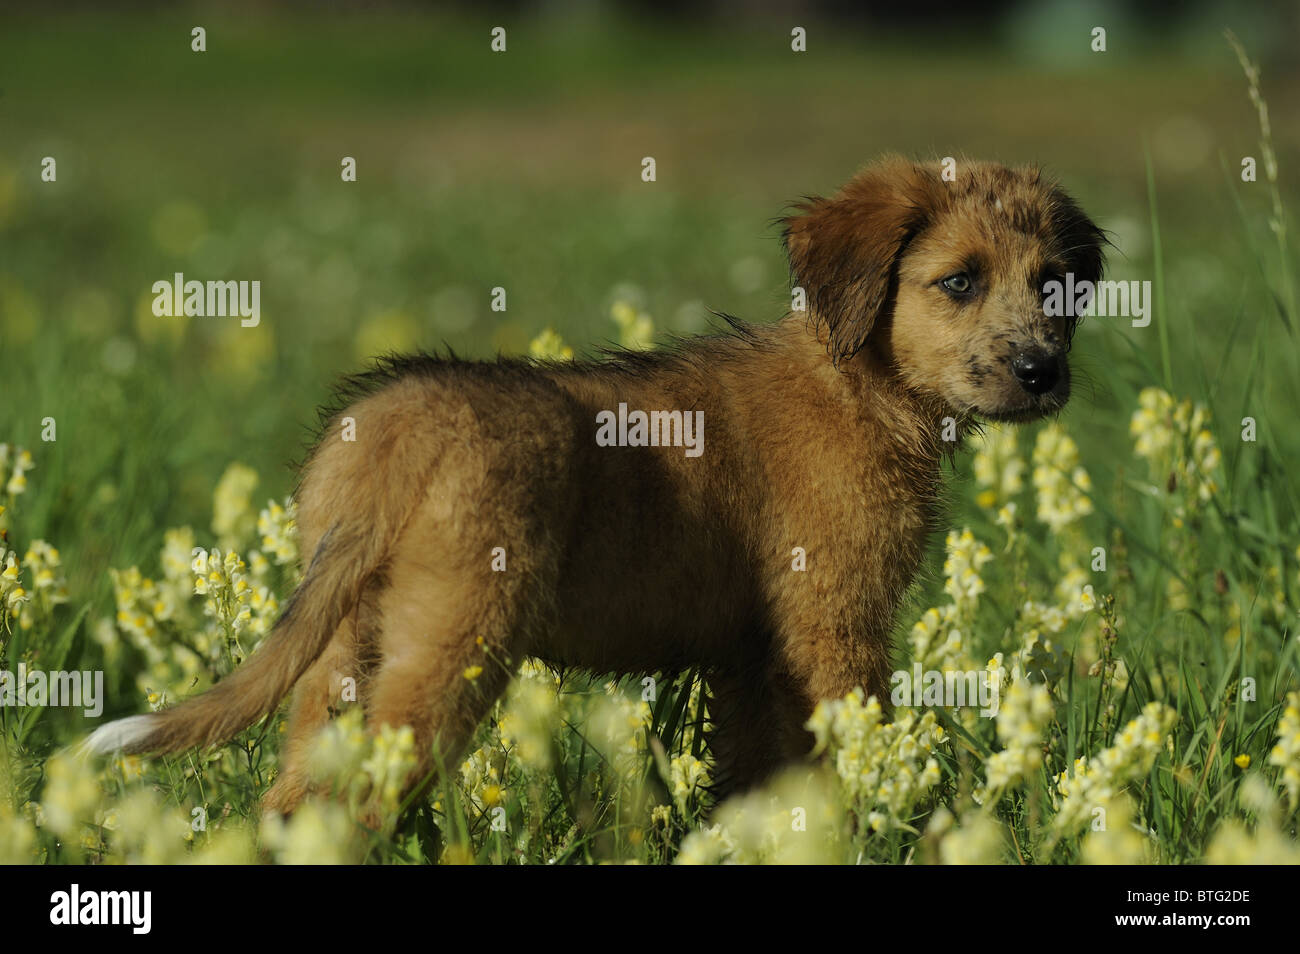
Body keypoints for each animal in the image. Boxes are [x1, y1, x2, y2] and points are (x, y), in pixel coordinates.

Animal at [89, 155, 1107, 816]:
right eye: (960, 282)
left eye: (1054, 286)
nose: (1041, 372)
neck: (856, 376)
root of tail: (394, 429)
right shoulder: (836, 626)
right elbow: (841, 759)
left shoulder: (749, 658)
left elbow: (753, 784)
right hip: (452, 644)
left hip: (339, 660)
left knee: (295, 800)